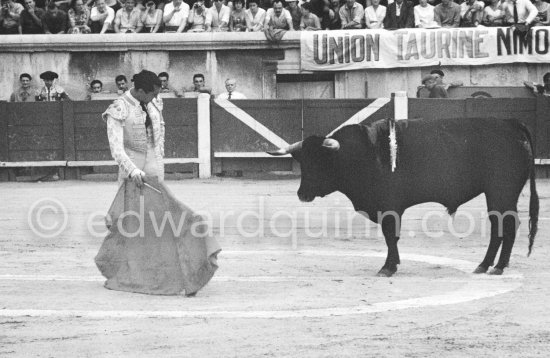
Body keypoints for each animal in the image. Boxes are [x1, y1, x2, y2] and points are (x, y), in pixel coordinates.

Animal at [270, 117, 540, 276]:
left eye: (319, 161)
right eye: (302, 162)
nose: (302, 194)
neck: (363, 154)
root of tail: (511, 123)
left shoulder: (389, 207)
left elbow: (391, 236)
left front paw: (388, 267)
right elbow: (392, 237)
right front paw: (392, 264)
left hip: (502, 191)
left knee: (507, 225)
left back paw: (498, 267)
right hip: (496, 194)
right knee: (499, 226)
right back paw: (485, 265)